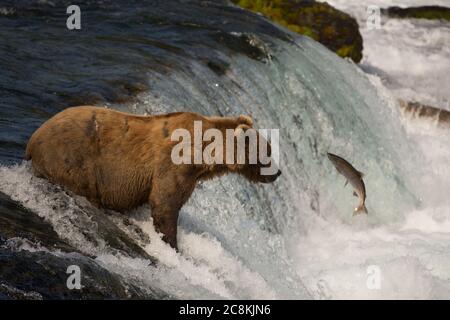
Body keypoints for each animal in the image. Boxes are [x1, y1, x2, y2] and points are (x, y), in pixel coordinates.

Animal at [25, 106, 282, 249]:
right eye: (267, 152)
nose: (278, 173)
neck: (206, 154)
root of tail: (33, 138)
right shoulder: (174, 163)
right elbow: (165, 203)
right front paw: (172, 244)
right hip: (73, 159)